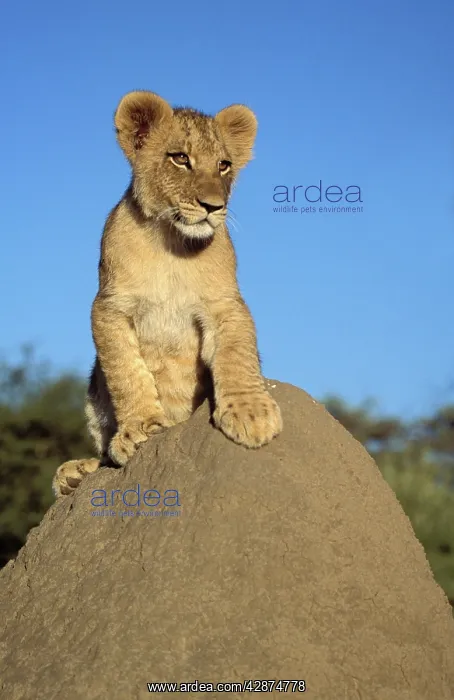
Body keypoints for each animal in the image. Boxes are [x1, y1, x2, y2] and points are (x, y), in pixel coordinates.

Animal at [53, 90, 283, 497]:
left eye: (224, 165)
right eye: (180, 158)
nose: (213, 207)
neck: (171, 245)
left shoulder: (226, 304)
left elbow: (237, 355)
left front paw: (251, 412)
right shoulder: (109, 307)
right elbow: (127, 372)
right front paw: (140, 429)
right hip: (94, 390)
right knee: (104, 448)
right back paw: (76, 473)